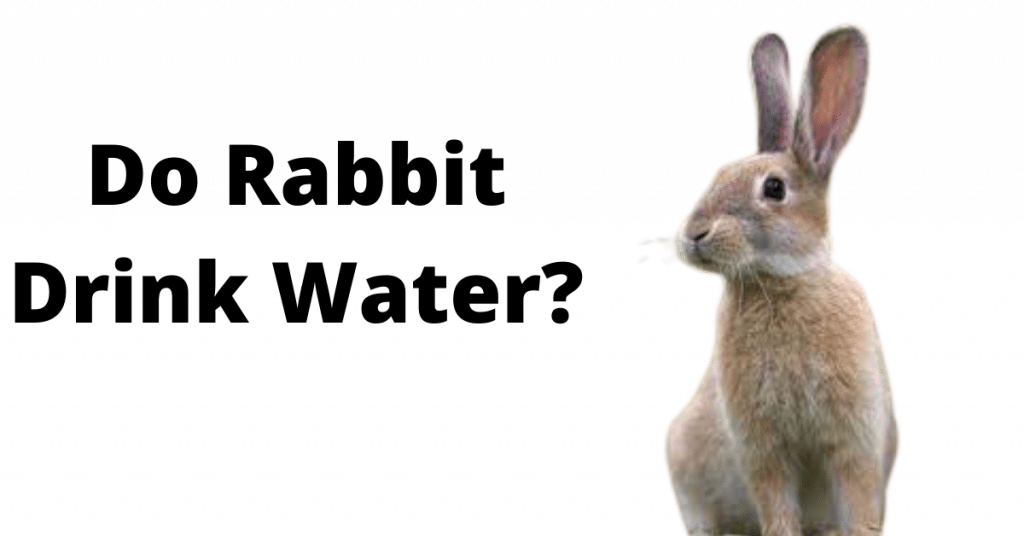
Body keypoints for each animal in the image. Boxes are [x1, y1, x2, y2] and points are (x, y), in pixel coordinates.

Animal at [666, 27, 897, 536]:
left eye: (774, 189)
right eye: (718, 175)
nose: (694, 235)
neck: (781, 284)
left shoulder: (854, 441)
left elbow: (859, 504)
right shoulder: (763, 449)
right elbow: (777, 505)